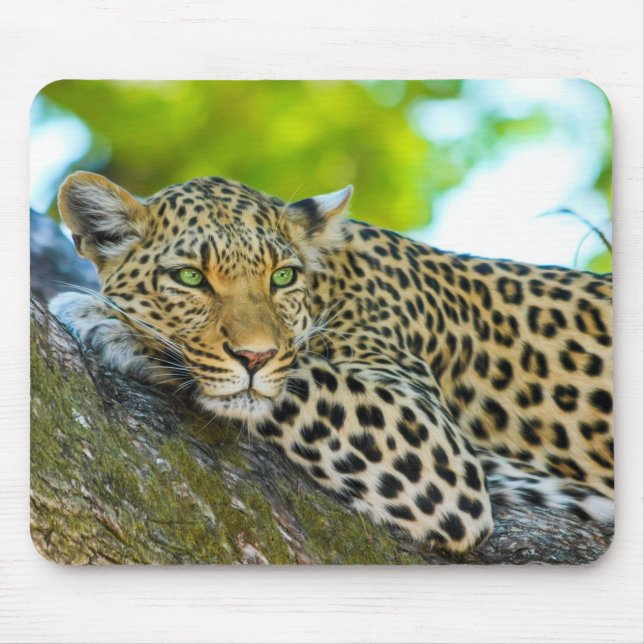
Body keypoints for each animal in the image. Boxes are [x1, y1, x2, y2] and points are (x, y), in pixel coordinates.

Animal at [49, 171, 614, 553]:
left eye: (281, 277)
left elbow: (299, 377)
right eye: (190, 278)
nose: (254, 355)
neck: (329, 284)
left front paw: (110, 322)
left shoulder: (437, 449)